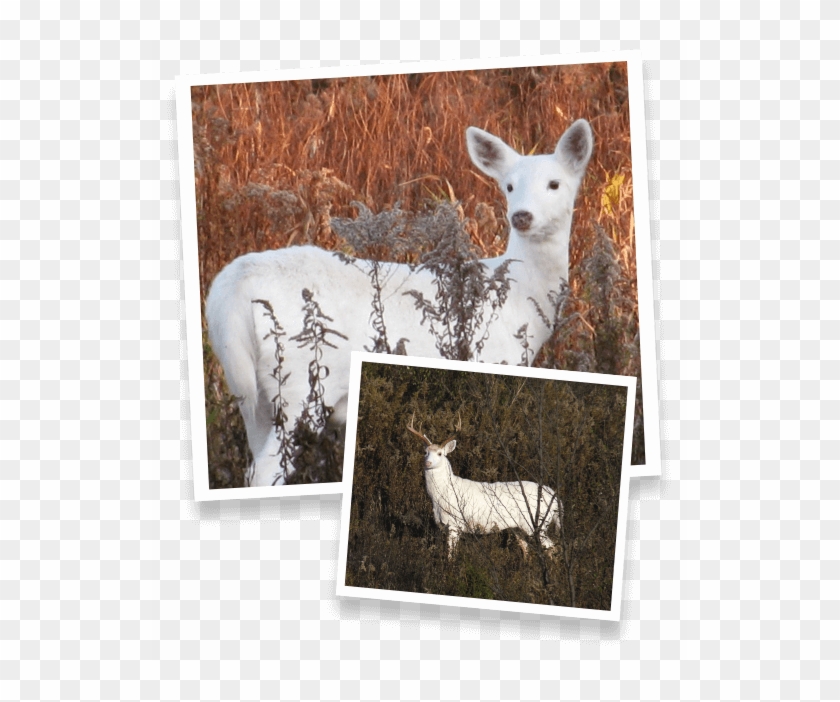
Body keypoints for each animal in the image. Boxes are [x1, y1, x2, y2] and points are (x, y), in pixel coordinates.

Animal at [204, 120, 594, 486]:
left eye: (555, 184)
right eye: (509, 186)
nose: (522, 216)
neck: (519, 298)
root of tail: (230, 291)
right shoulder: (494, 358)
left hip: (249, 391)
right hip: (301, 380)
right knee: (265, 470)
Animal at [407, 411, 563, 559]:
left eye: (440, 453)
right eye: (425, 452)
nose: (427, 463)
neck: (441, 495)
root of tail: (555, 498)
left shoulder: (454, 523)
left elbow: (451, 555)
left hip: (538, 522)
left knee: (552, 548)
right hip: (519, 526)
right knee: (526, 549)